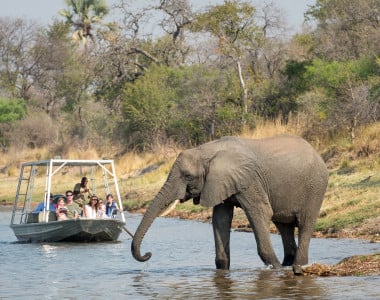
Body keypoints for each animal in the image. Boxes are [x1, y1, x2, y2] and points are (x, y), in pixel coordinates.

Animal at [132, 136, 328, 274]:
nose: (148, 254)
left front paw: (275, 268)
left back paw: (297, 266)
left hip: (316, 187)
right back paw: (288, 264)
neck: (207, 150)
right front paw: (223, 270)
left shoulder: (248, 180)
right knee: (283, 225)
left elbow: (261, 212)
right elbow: (220, 219)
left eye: (187, 176)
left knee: (304, 223)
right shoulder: (219, 183)